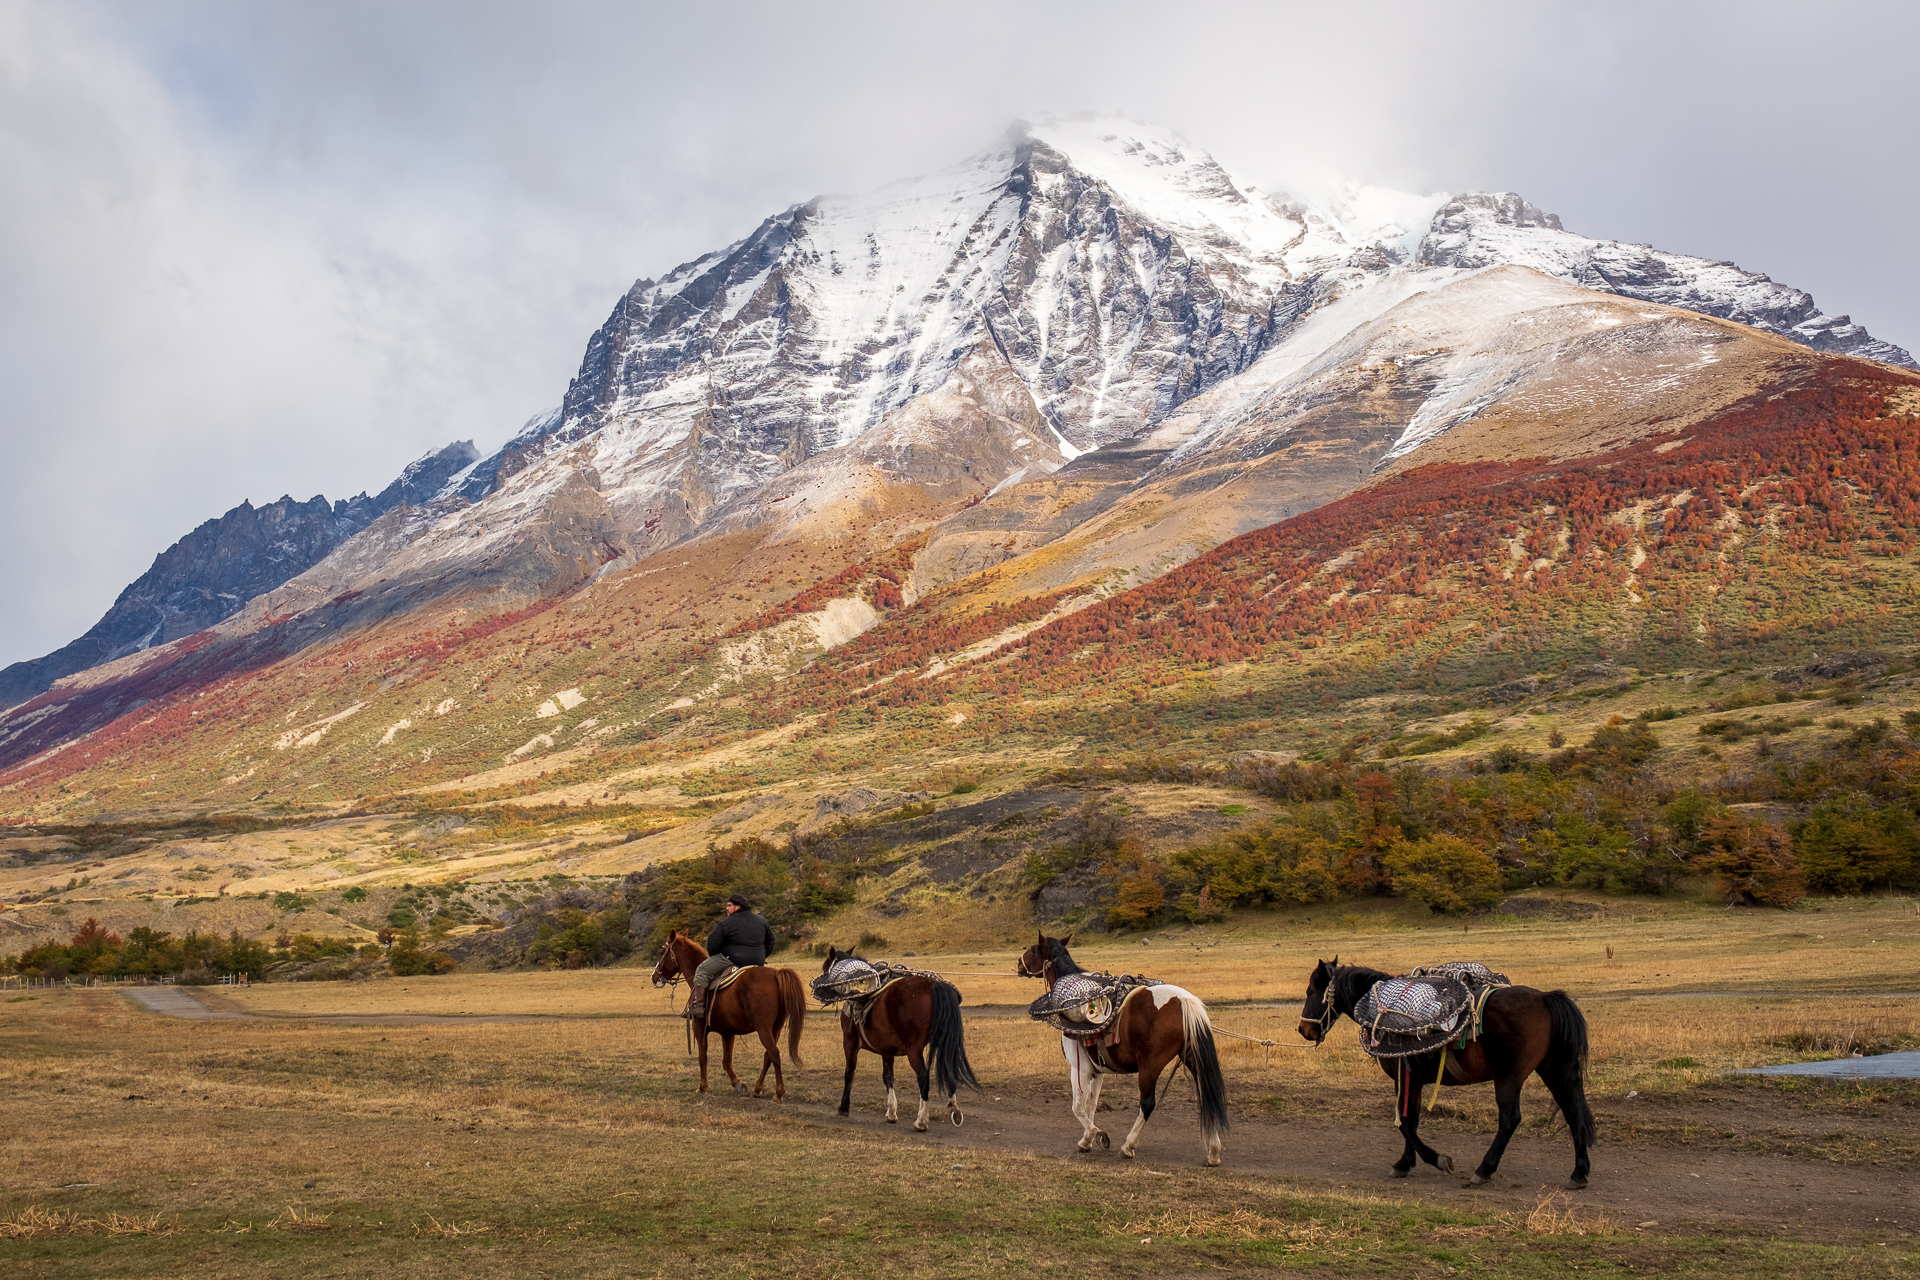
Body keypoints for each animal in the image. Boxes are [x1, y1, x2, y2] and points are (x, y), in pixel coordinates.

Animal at [652, 932, 802, 1105]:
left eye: (661, 952)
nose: (654, 977)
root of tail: (776, 974)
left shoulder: (699, 1027)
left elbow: (703, 1057)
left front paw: (702, 1087)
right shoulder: (728, 1033)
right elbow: (726, 1061)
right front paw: (738, 1084)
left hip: (763, 1029)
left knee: (774, 1053)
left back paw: (778, 1092)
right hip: (775, 1028)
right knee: (768, 1056)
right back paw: (757, 1088)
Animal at [817, 940, 983, 1128]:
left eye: (825, 968)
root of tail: (934, 984)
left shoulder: (850, 1042)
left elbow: (849, 1073)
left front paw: (844, 1107)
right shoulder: (887, 1049)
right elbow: (887, 1077)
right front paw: (891, 1112)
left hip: (914, 1049)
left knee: (923, 1077)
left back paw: (921, 1120)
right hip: (944, 1043)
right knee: (949, 1070)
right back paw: (953, 1109)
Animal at [1021, 932, 1228, 1174]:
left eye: (1033, 949)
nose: (1019, 964)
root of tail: (1183, 1000)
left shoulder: (1079, 1068)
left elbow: (1078, 1108)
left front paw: (1096, 1135)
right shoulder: (1097, 1071)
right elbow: (1091, 1106)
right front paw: (1087, 1140)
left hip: (1149, 1067)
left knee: (1147, 1104)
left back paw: (1128, 1146)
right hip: (1193, 1060)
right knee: (1207, 1095)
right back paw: (1213, 1152)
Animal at [1297, 959, 1597, 1189]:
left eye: (1311, 991)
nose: (1303, 1030)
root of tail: (1544, 998)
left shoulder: (1405, 1080)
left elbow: (1405, 1124)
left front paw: (1436, 1160)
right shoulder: (1414, 1082)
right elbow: (1412, 1120)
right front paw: (1405, 1163)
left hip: (1509, 1078)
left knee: (1510, 1119)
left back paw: (1484, 1170)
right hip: (1554, 1071)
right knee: (1573, 1113)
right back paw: (1579, 1173)